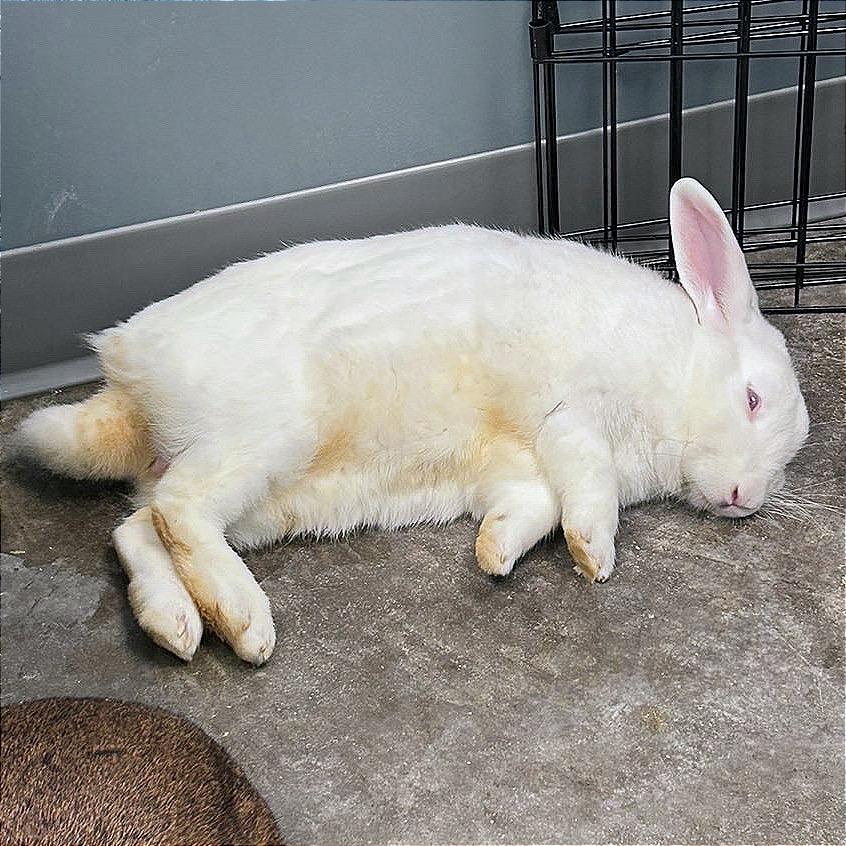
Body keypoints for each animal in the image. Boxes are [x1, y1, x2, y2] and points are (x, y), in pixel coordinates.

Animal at [14, 178, 809, 665]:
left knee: (138, 528)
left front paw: (495, 555)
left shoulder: (518, 470)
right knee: (178, 512)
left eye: (786, 462)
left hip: (259, 501)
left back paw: (176, 625)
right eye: (751, 399)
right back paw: (244, 622)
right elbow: (585, 484)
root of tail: (129, 380)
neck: (677, 371)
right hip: (266, 438)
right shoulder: (575, 416)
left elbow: (531, 508)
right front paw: (595, 556)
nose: (743, 498)